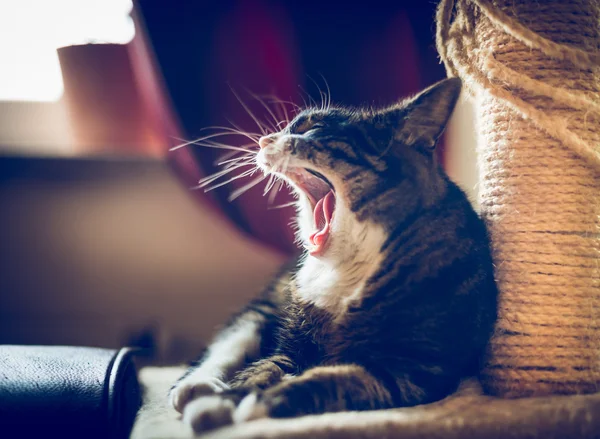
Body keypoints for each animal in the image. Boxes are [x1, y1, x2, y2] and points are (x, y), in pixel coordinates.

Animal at [168, 78, 496, 434]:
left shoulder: (416, 370)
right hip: (271, 304)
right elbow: (261, 369)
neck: (345, 268)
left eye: (314, 128)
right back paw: (197, 387)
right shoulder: (293, 346)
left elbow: (335, 380)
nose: (265, 139)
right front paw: (226, 399)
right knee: (234, 336)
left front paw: (259, 402)